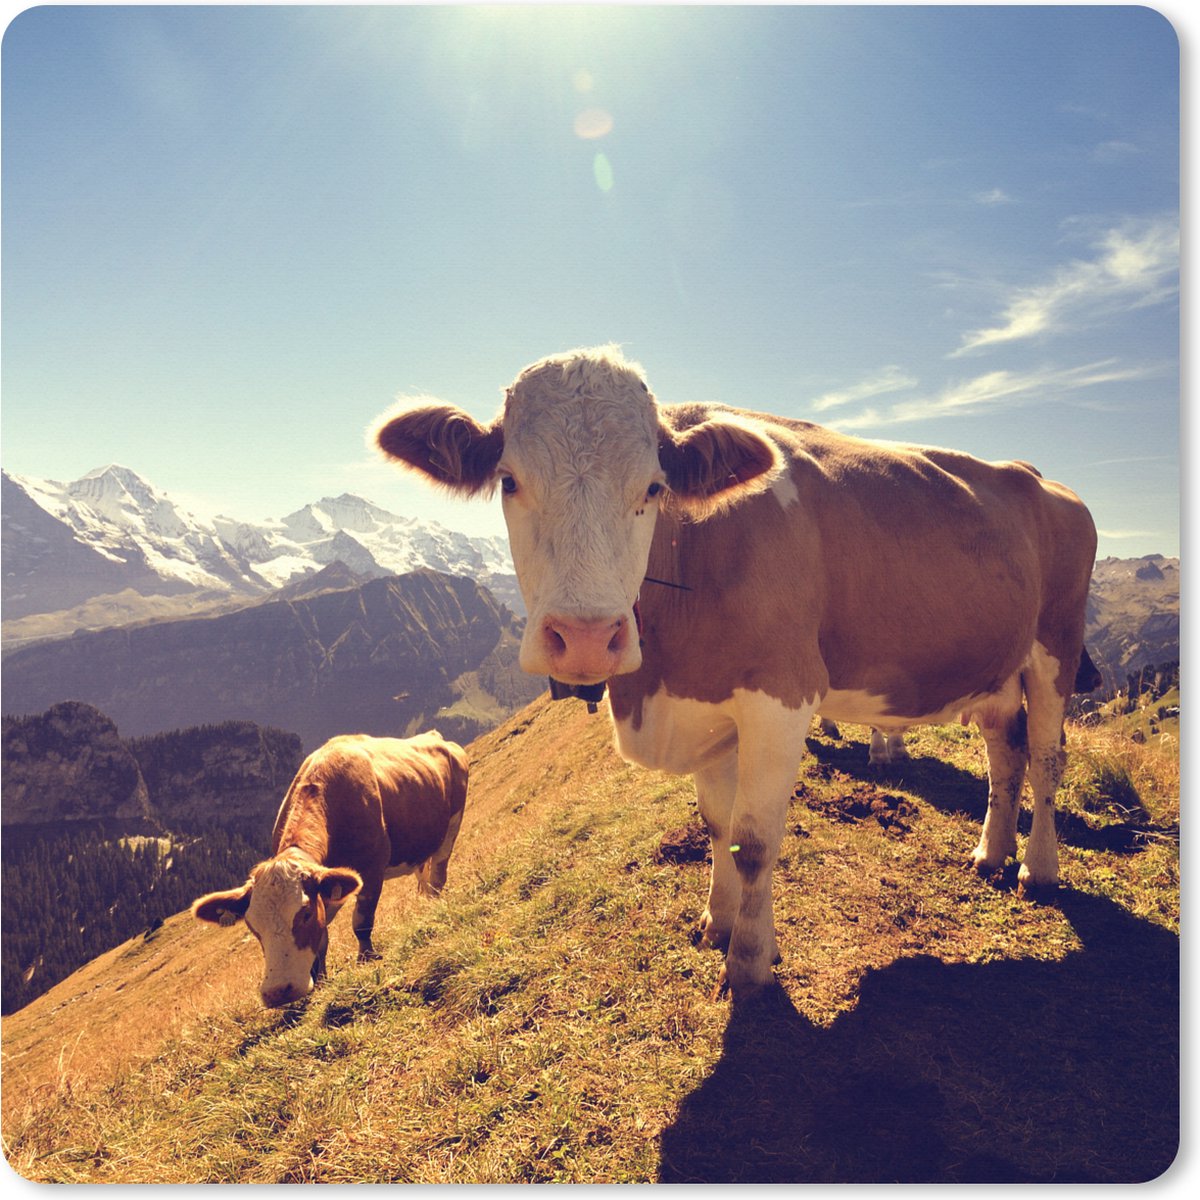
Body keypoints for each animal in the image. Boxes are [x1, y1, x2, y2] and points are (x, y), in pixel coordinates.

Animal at [192, 731, 468, 1008]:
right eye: (251, 924)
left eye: (304, 914)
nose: (278, 991)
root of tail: (435, 736)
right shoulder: (326, 890)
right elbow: (322, 938)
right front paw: (322, 979)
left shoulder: (371, 870)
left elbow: (362, 922)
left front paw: (365, 959)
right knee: (424, 878)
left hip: (452, 826)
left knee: (438, 876)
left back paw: (433, 907)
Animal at [371, 345, 1096, 1000]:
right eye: (509, 480)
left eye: (653, 487)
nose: (584, 639)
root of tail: (1043, 480)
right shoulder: (707, 702)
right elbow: (716, 823)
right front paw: (718, 922)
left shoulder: (781, 694)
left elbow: (754, 838)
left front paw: (748, 962)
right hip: (996, 665)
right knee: (1004, 753)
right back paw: (991, 853)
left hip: (1056, 649)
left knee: (1044, 757)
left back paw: (1038, 868)